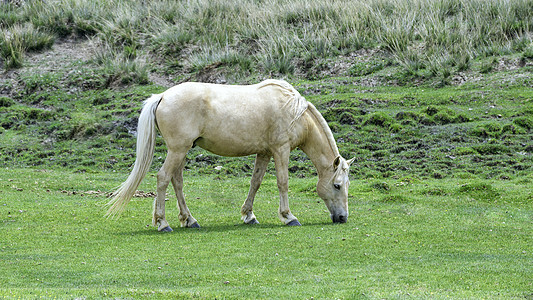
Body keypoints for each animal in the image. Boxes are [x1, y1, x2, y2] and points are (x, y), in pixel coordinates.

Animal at [106, 79, 354, 232]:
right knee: (163, 178)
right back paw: (163, 223)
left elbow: (256, 182)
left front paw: (249, 215)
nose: (343, 218)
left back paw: (189, 220)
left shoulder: (264, 152)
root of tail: (163, 96)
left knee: (177, 182)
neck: (294, 111)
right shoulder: (280, 150)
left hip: (181, 151)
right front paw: (288, 216)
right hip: (177, 150)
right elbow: (282, 182)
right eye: (337, 185)